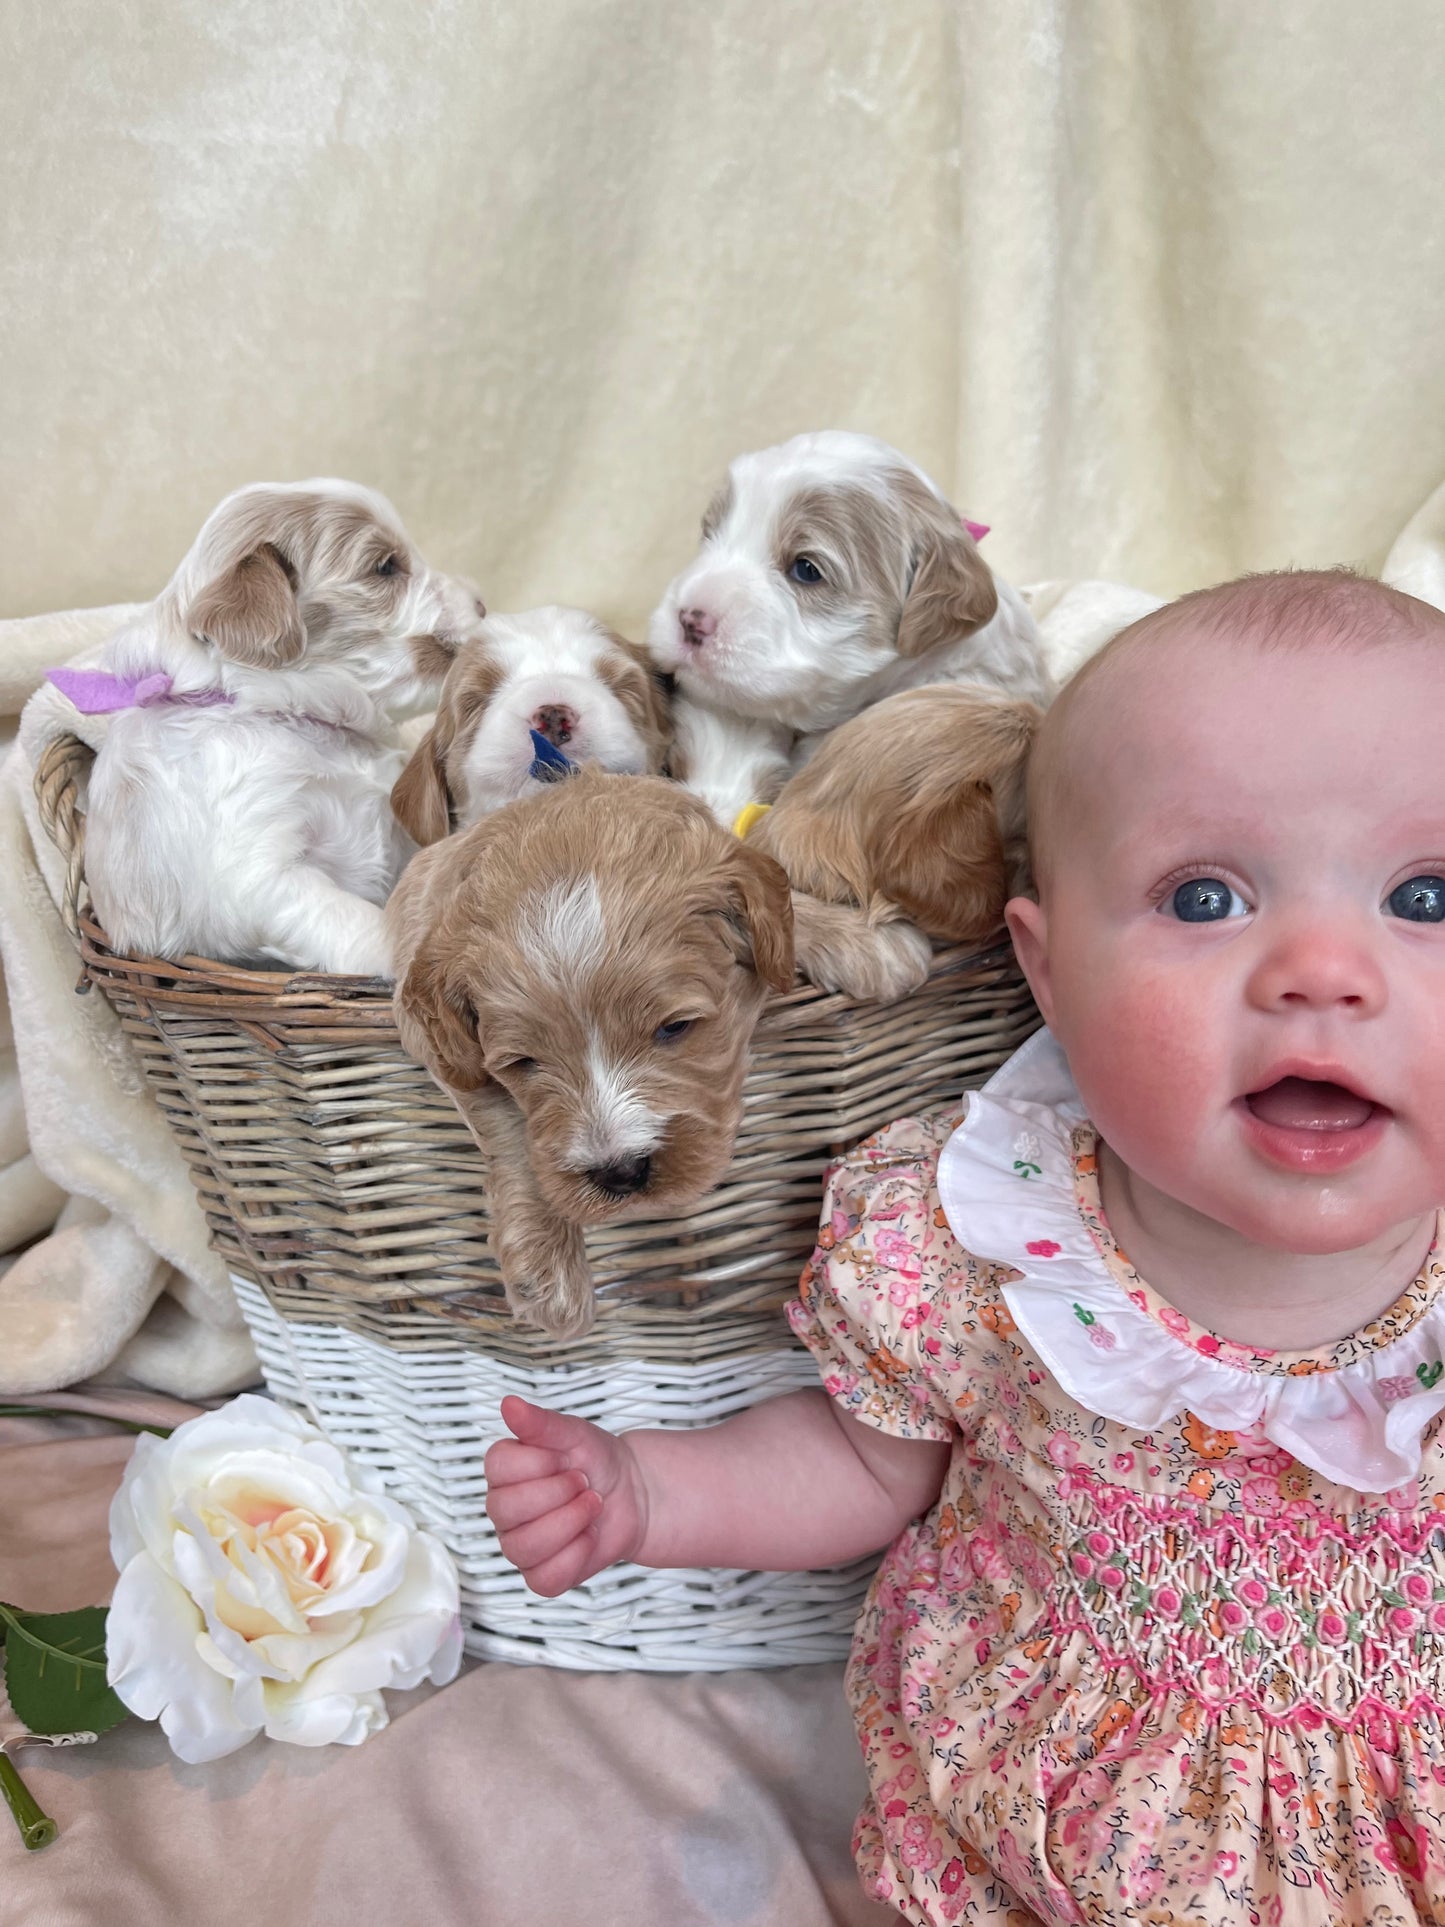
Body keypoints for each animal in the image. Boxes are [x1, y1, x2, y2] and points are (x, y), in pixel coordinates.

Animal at [391, 759, 797, 1333]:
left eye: (676, 1027)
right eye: (523, 1062)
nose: (620, 1172)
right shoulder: (437, 1045)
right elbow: (507, 1125)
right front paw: (549, 1276)